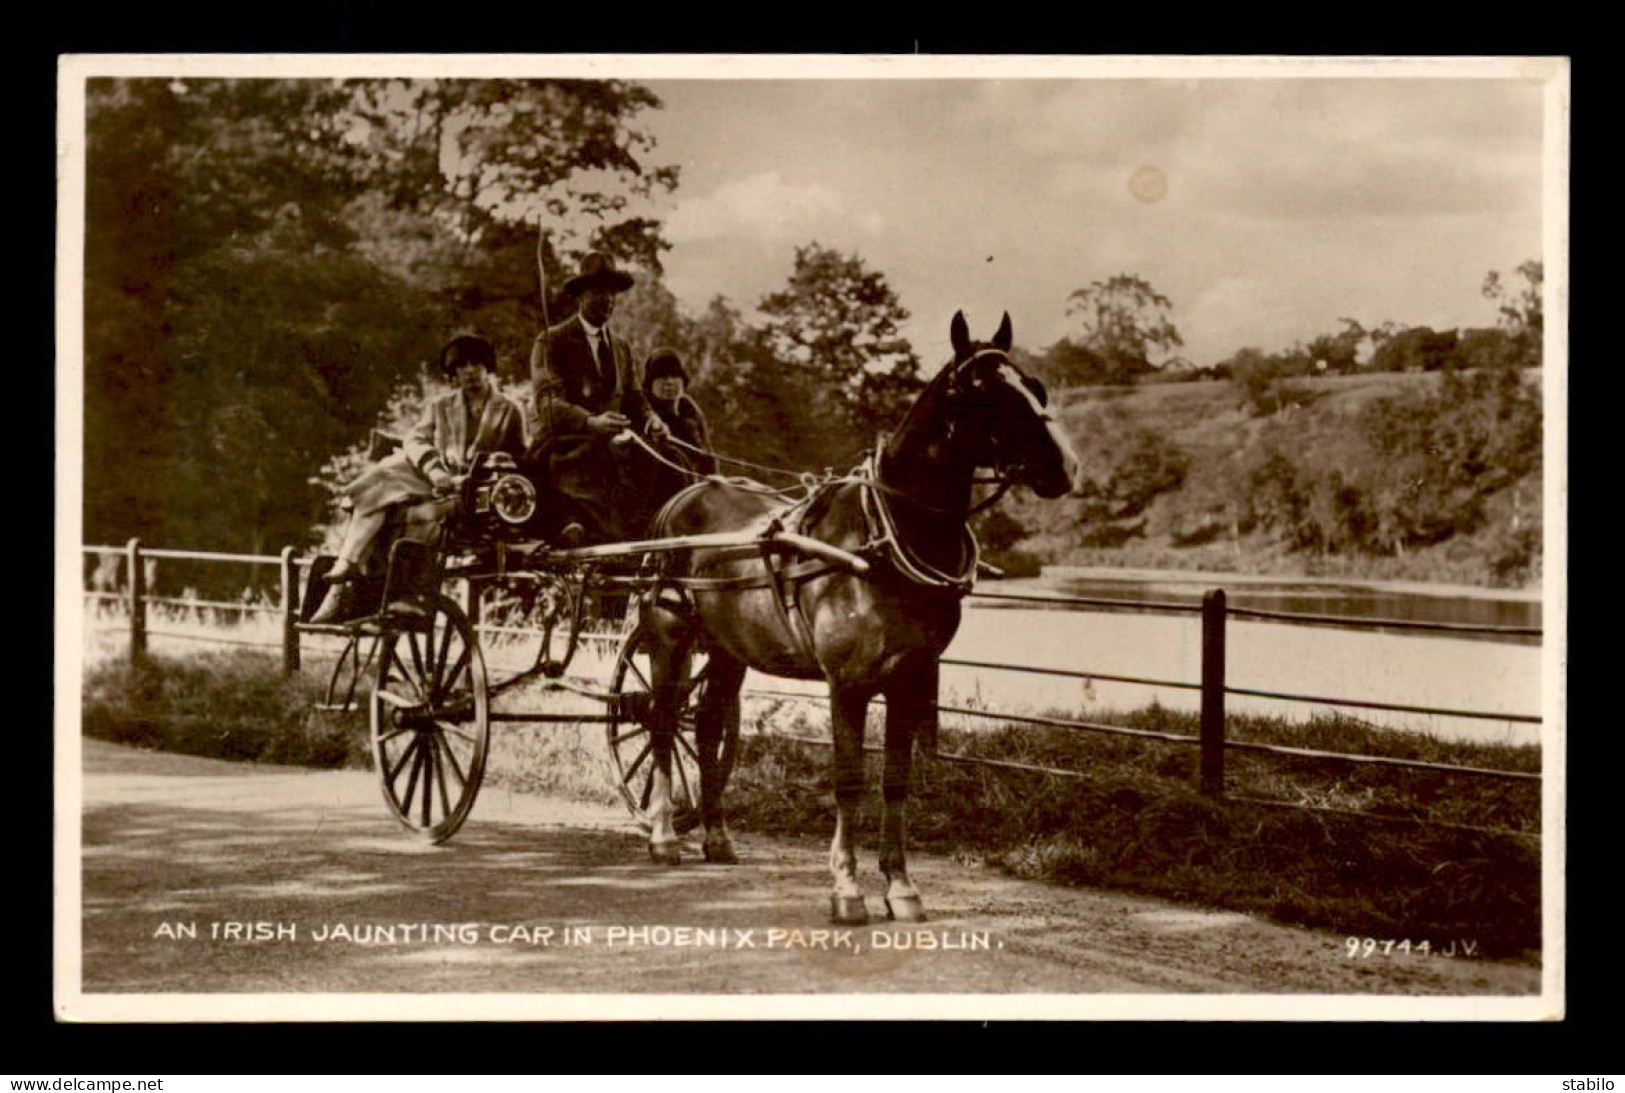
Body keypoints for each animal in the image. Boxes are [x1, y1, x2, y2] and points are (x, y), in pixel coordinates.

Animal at [633, 308, 1079, 922]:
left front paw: (901, 885)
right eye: (981, 391)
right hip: (669, 636)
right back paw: (662, 834)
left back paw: (717, 835)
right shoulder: (847, 682)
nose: (1064, 466)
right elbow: (849, 780)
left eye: (1032, 385)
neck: (882, 538)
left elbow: (895, 780)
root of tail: (685, 497)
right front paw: (846, 886)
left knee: (704, 724)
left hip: (727, 650)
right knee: (660, 719)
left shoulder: (910, 678)